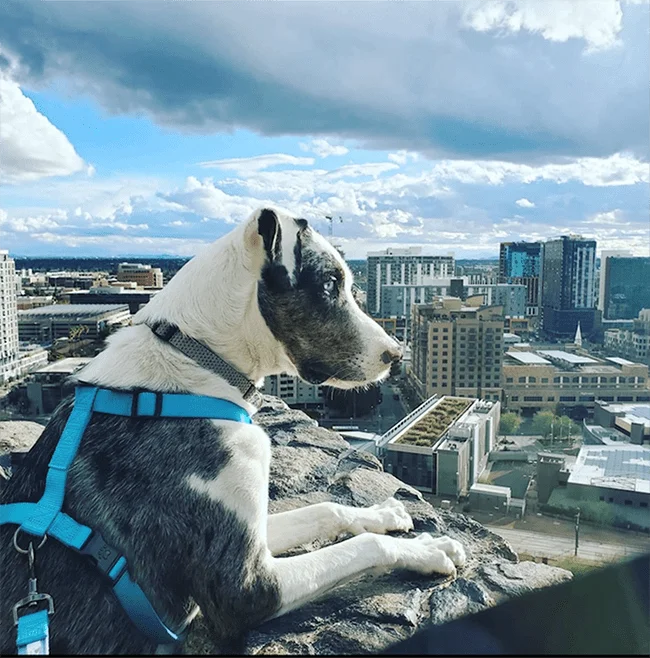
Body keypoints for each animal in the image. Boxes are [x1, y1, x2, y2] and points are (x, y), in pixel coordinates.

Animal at [0, 209, 466, 652]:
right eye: (330, 282)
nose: (396, 353)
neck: (195, 363)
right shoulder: (246, 587)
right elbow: (366, 545)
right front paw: (426, 548)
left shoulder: (253, 530)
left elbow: (326, 509)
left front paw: (382, 513)